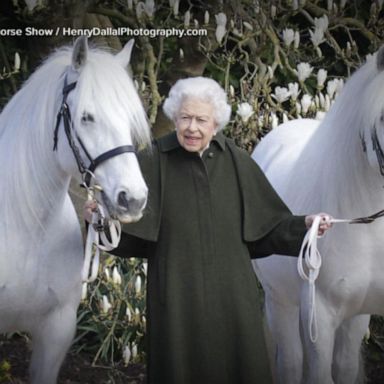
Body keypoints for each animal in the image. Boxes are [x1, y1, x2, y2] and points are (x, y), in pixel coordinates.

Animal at [252, 48, 384, 384]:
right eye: (382, 116)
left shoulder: (358, 313)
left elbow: (346, 370)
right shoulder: (320, 316)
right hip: (280, 303)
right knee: (290, 363)